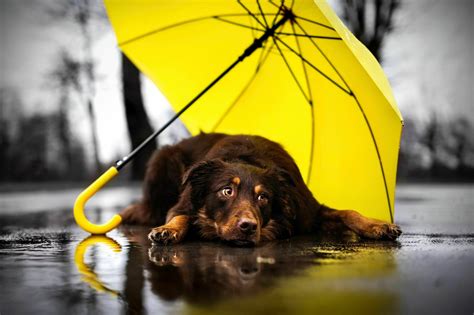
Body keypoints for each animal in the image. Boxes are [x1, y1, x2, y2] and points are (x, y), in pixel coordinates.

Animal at [121, 133, 400, 247]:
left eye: (263, 197)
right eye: (226, 191)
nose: (248, 227)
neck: (247, 158)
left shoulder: (309, 210)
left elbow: (348, 212)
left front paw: (377, 225)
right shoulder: (184, 201)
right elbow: (180, 216)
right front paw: (168, 230)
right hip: (162, 159)